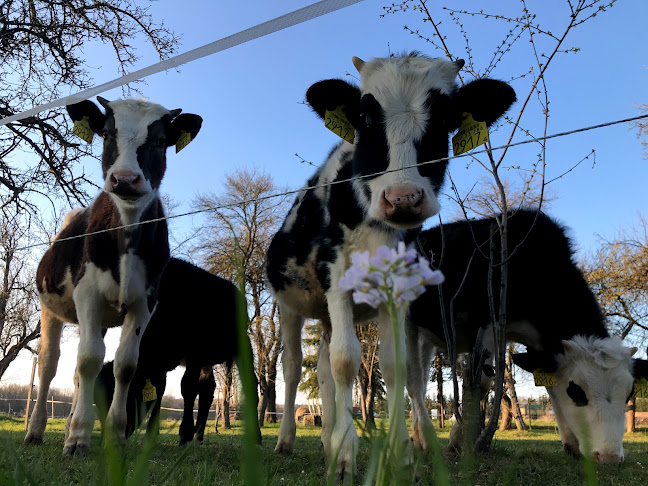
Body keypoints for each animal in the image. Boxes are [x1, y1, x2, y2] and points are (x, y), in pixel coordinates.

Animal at [25, 96, 201, 456]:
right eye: (106, 134)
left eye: (160, 141)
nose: (125, 179)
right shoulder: (87, 294)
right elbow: (90, 359)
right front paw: (79, 438)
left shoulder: (145, 302)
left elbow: (125, 365)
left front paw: (115, 435)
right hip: (50, 309)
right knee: (50, 364)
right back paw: (35, 431)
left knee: (77, 372)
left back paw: (66, 426)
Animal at [88, 260, 260, 446]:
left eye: (124, 396)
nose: (107, 441)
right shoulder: (160, 363)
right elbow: (160, 390)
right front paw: (150, 436)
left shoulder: (193, 352)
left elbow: (188, 387)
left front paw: (185, 434)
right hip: (207, 359)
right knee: (207, 390)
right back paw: (199, 438)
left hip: (242, 345)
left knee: (250, 384)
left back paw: (255, 437)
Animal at [264, 54, 516, 482]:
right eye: (366, 117)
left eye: (445, 118)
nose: (402, 198)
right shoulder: (336, 280)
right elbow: (347, 361)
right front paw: (346, 458)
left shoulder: (396, 291)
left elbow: (395, 366)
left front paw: (401, 456)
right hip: (289, 306)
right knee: (296, 367)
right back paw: (286, 442)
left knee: (325, 370)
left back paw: (327, 441)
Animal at [404, 210, 648, 464]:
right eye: (576, 391)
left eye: (629, 393)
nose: (609, 457)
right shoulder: (488, 324)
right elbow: (482, 383)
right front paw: (456, 443)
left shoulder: (541, 345)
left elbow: (549, 386)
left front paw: (571, 443)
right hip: (405, 319)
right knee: (412, 381)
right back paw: (425, 438)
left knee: (421, 382)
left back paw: (418, 437)